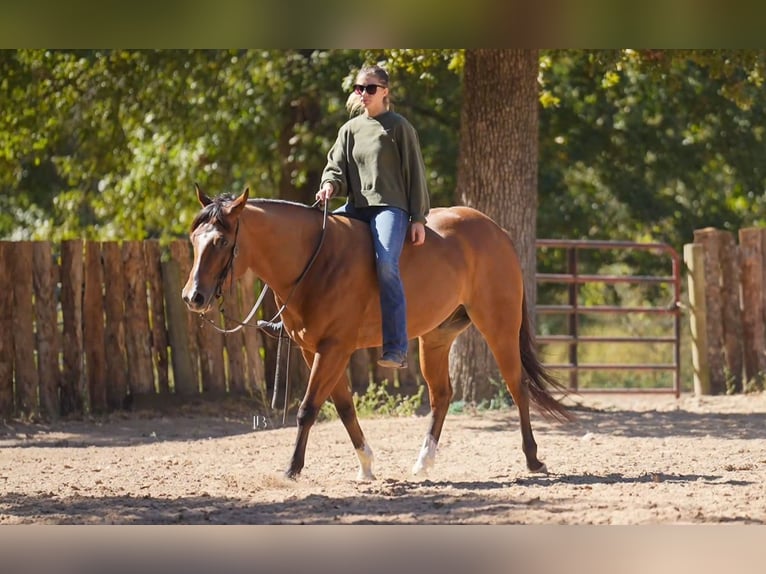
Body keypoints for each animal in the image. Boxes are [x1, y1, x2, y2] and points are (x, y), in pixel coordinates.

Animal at [182, 185, 572, 480]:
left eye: (220, 242)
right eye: (193, 239)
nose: (193, 297)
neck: (315, 260)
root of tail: (496, 231)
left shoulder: (334, 348)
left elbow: (308, 408)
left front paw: (292, 469)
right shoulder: (314, 350)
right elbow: (343, 407)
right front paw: (366, 465)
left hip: (499, 327)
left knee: (517, 386)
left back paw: (533, 459)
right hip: (436, 338)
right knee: (442, 395)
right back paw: (423, 462)